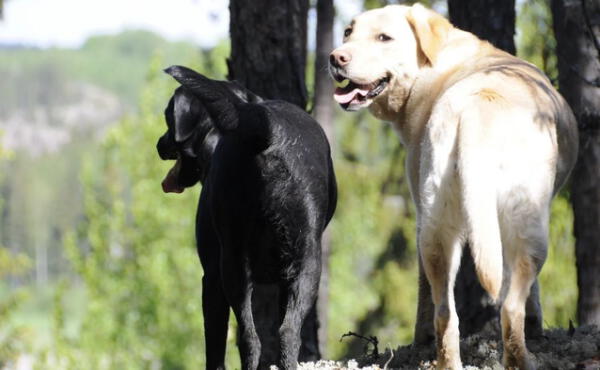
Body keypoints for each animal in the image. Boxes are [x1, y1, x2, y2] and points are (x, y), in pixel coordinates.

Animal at [156, 66, 338, 370]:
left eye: (168, 118)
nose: (159, 144)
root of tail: (267, 130)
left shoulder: (211, 277)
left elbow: (215, 345)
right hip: (303, 261)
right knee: (287, 332)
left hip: (234, 265)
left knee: (248, 337)